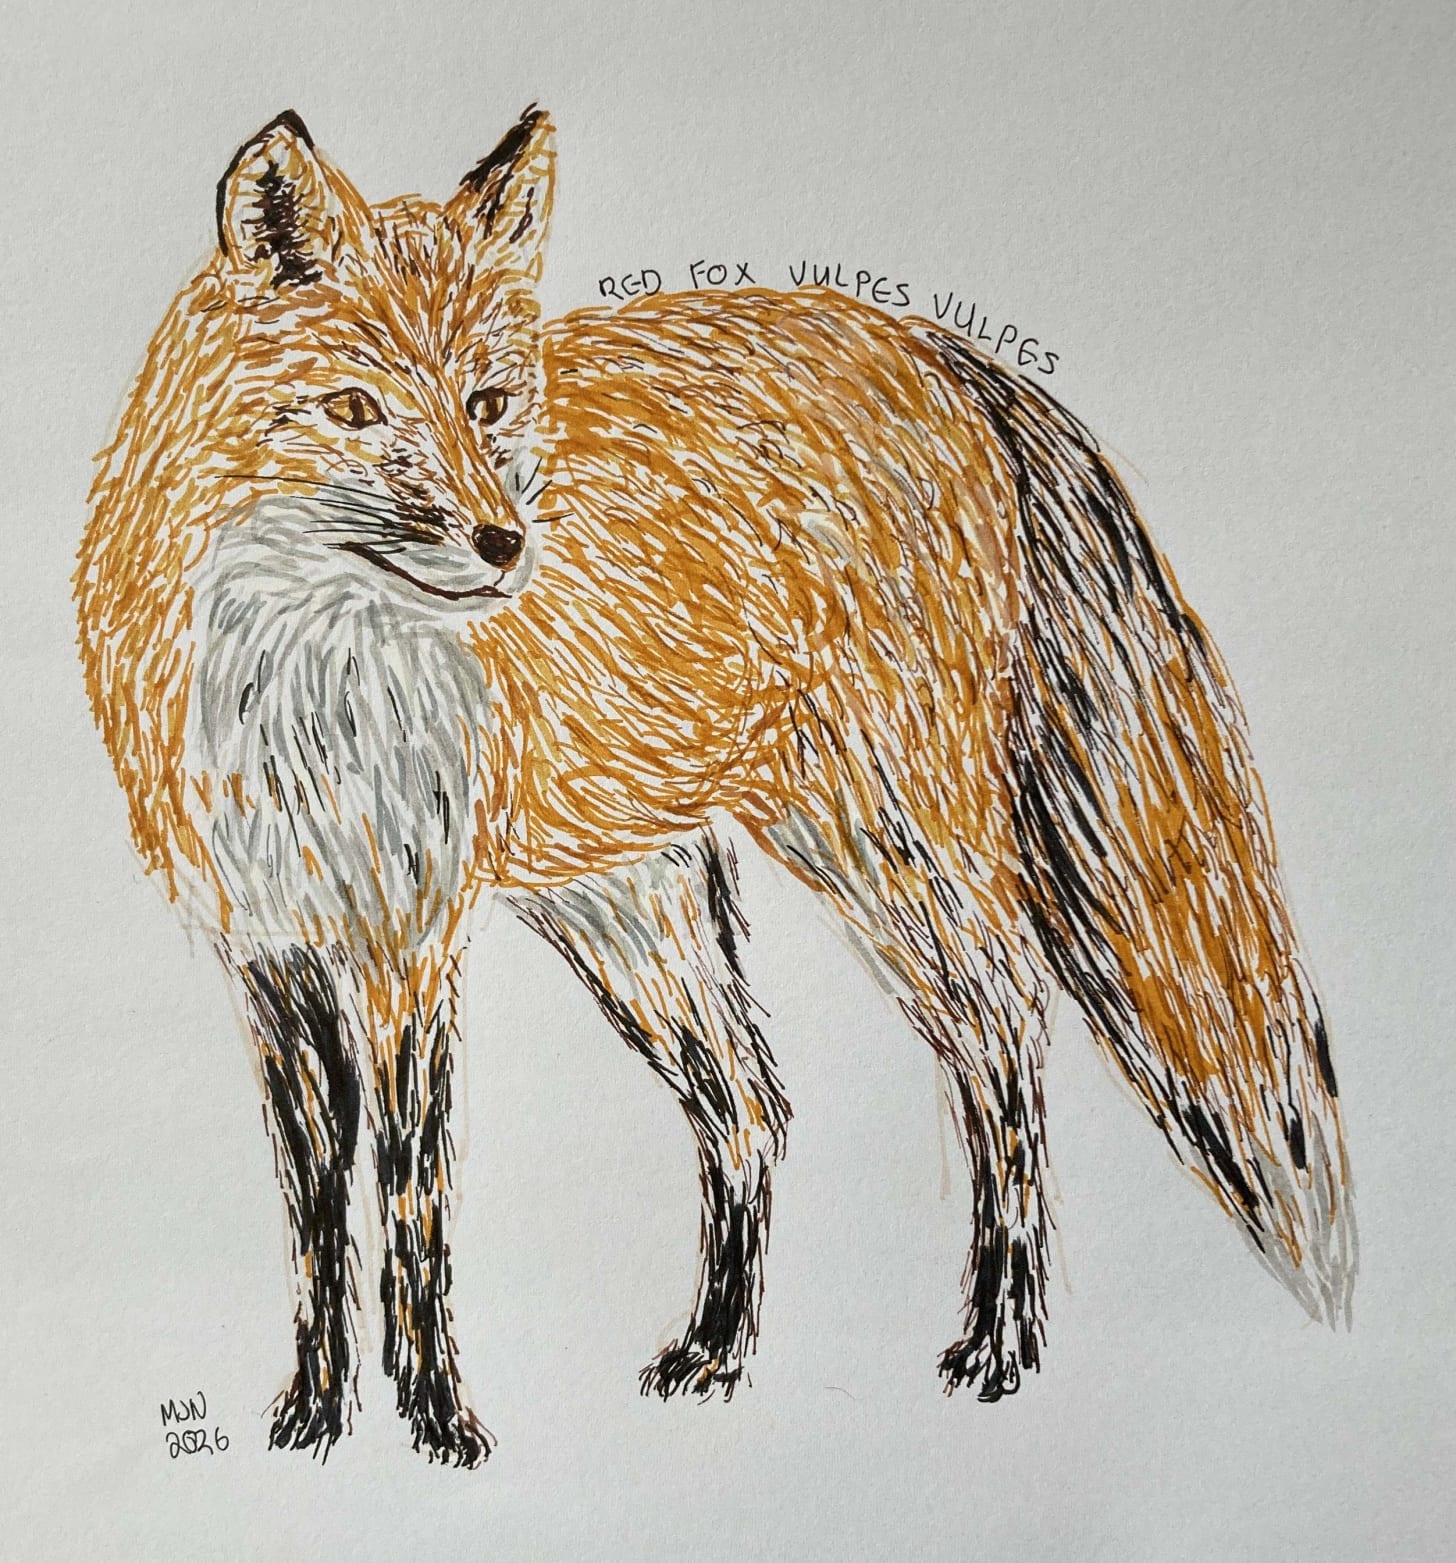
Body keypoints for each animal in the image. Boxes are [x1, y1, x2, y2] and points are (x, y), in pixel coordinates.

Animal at [74, 106, 1354, 1467]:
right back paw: (715, 1354)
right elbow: (316, 1213)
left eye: (489, 402)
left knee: (1003, 1035)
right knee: (751, 1105)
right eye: (355, 408)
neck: (299, 681)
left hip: (883, 848)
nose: (503, 546)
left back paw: (1000, 1340)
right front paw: (314, 1420)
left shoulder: (411, 946)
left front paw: (433, 1423)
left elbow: (411, 1200)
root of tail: (940, 349)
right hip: (640, 917)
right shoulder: (270, 952)